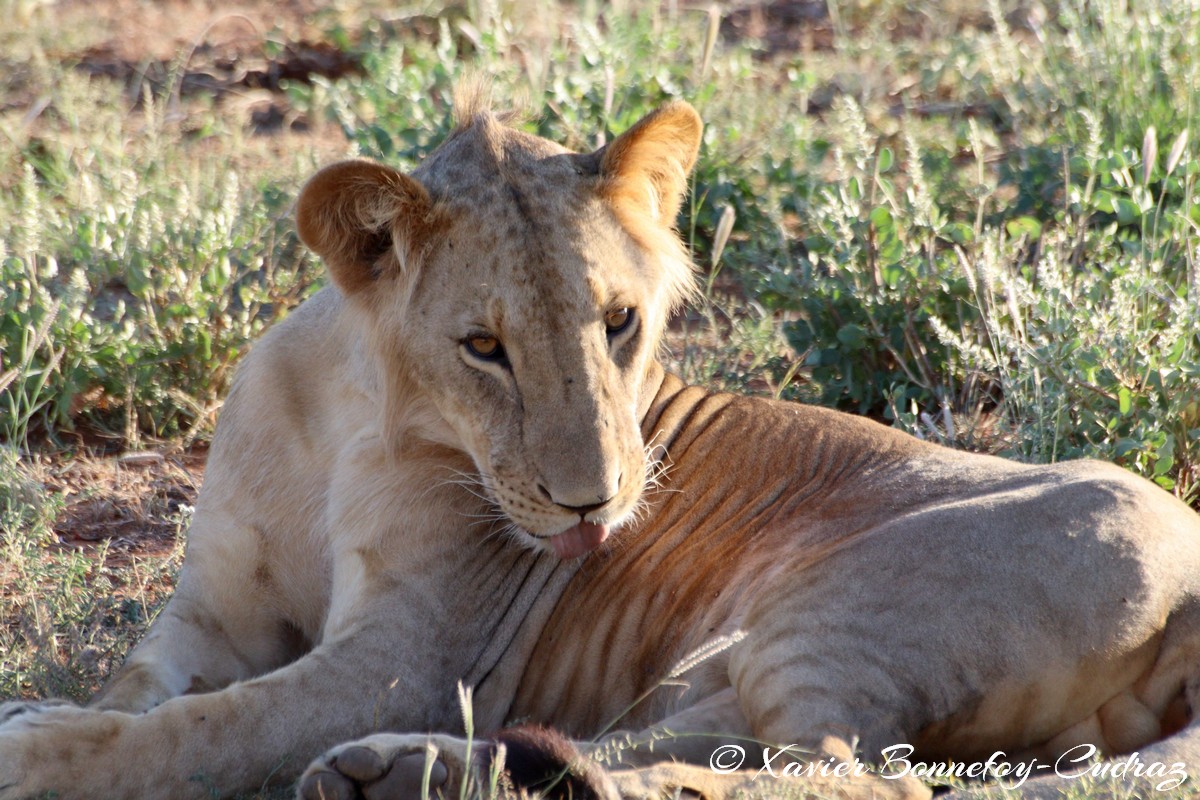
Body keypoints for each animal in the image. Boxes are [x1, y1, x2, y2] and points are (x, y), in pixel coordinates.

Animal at [0, 87, 1200, 800]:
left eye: (620, 321)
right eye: (484, 346)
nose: (596, 506)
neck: (341, 415)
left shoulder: (414, 656)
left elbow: (205, 727)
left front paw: (32, 749)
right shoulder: (216, 608)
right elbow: (139, 688)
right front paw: (54, 709)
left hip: (838, 609)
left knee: (853, 779)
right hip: (728, 661)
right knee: (693, 744)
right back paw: (401, 773)